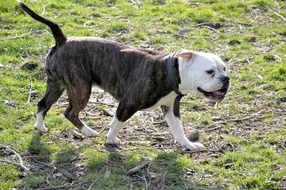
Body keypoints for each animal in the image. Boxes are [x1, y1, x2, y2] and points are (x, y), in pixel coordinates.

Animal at [19, 1, 230, 150]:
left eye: (225, 69)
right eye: (209, 72)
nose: (225, 79)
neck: (171, 71)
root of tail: (62, 40)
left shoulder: (171, 109)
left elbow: (178, 130)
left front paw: (189, 145)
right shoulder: (127, 104)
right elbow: (117, 123)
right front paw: (111, 140)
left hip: (56, 85)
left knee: (43, 104)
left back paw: (40, 127)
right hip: (81, 90)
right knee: (69, 112)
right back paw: (88, 131)